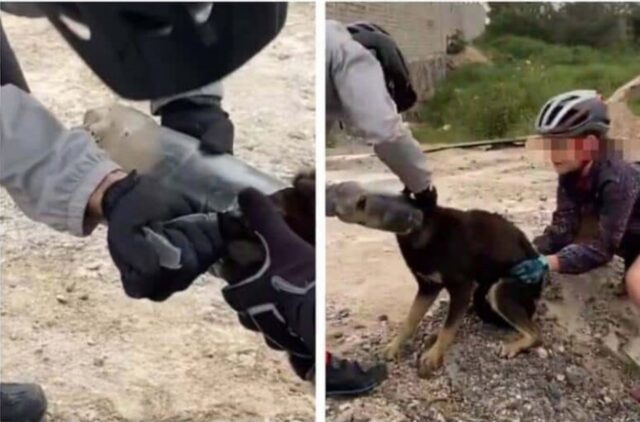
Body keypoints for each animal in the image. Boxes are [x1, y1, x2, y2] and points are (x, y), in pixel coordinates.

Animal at [380, 190, 544, 378]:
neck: (429, 232)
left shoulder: (461, 288)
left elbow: (448, 329)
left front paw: (433, 356)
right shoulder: (428, 288)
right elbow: (410, 320)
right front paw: (394, 346)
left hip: (499, 290)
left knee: (535, 333)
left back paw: (513, 346)